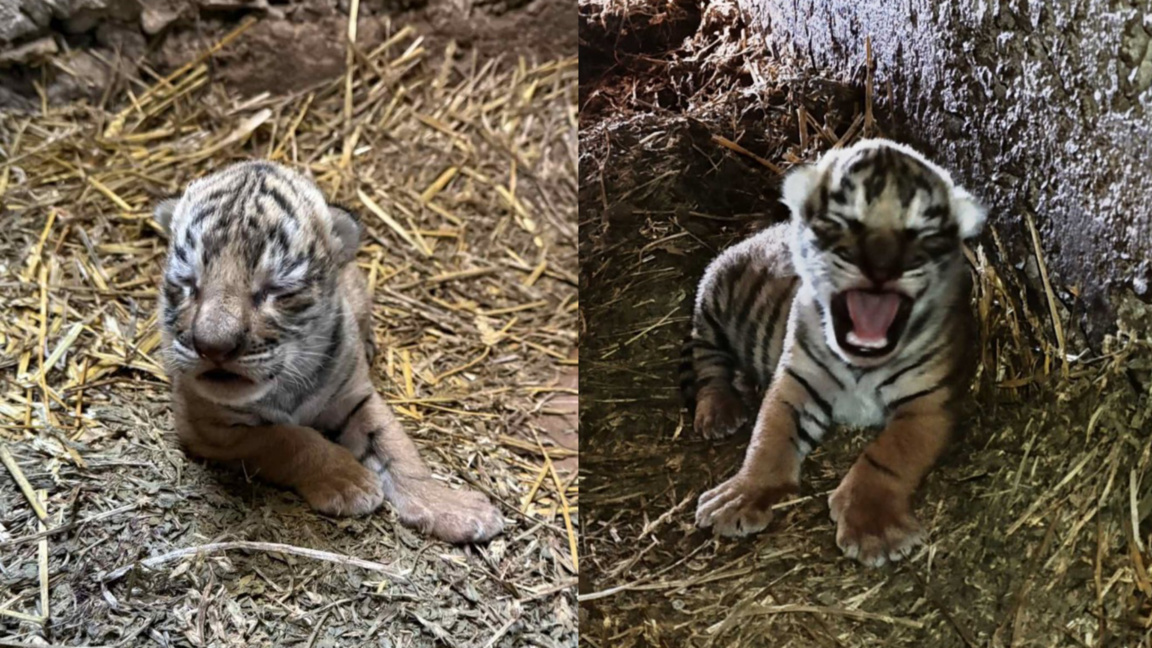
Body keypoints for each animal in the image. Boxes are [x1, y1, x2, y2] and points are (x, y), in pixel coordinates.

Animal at [155, 160, 504, 544]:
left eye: (277, 289)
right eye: (187, 284)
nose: (212, 346)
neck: (288, 382)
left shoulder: (357, 397)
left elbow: (398, 449)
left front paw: (451, 507)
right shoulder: (205, 422)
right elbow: (287, 438)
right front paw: (350, 482)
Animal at [684, 138, 985, 566]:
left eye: (921, 233)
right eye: (842, 222)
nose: (881, 265)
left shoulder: (928, 403)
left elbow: (887, 456)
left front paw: (874, 529)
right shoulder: (795, 381)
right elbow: (769, 437)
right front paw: (739, 496)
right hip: (710, 297)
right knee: (707, 362)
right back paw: (718, 411)